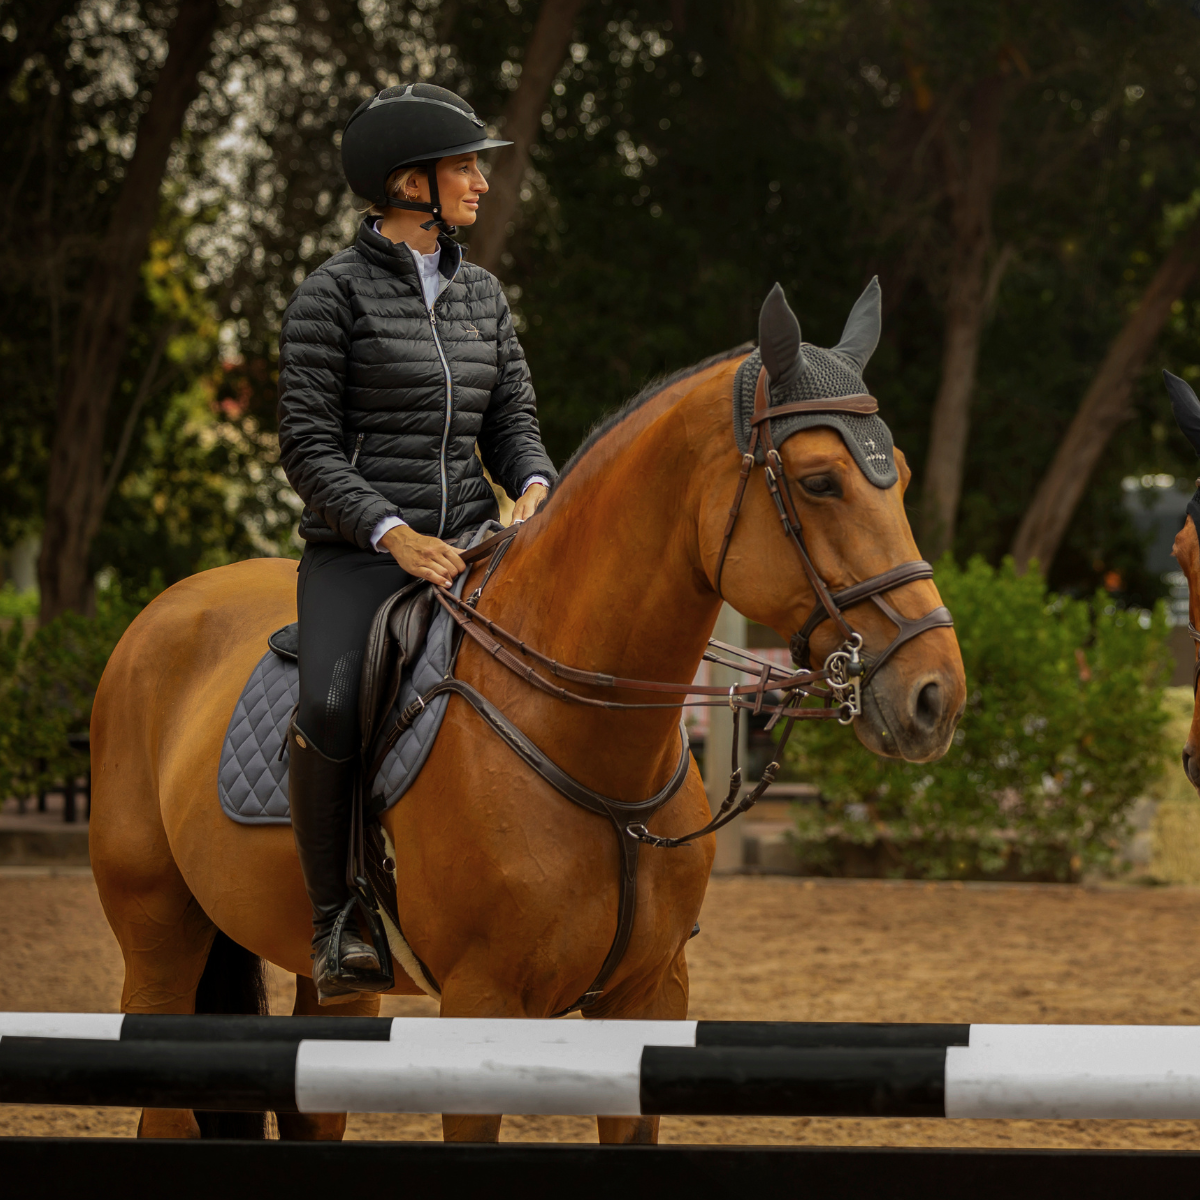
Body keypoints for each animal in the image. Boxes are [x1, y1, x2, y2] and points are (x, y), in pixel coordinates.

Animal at [90, 290, 966, 1144]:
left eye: (898, 475)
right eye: (820, 482)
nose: (937, 695)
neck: (590, 750)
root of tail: (161, 612)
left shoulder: (648, 999)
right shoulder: (482, 1004)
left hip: (329, 986)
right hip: (158, 935)